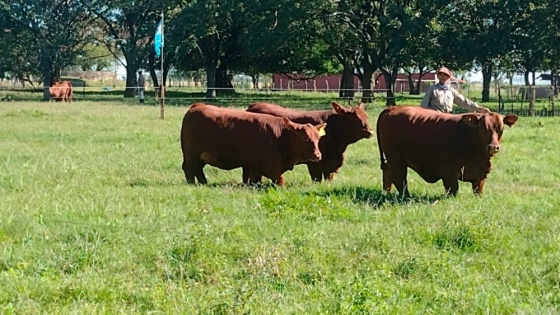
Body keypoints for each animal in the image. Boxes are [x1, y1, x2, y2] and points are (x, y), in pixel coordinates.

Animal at [179, 102, 328, 186]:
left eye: (318, 138)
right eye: (305, 138)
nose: (318, 155)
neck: (280, 136)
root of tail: (198, 106)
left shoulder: (256, 169)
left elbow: (253, 181)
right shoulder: (272, 168)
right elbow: (281, 181)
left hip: (200, 157)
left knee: (198, 169)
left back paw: (203, 183)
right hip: (192, 154)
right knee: (189, 169)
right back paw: (192, 184)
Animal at [374, 106, 520, 196]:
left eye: (501, 129)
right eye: (483, 128)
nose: (493, 147)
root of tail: (392, 108)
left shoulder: (480, 178)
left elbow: (478, 191)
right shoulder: (448, 174)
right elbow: (453, 191)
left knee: (388, 174)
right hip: (396, 158)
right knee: (399, 179)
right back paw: (407, 197)